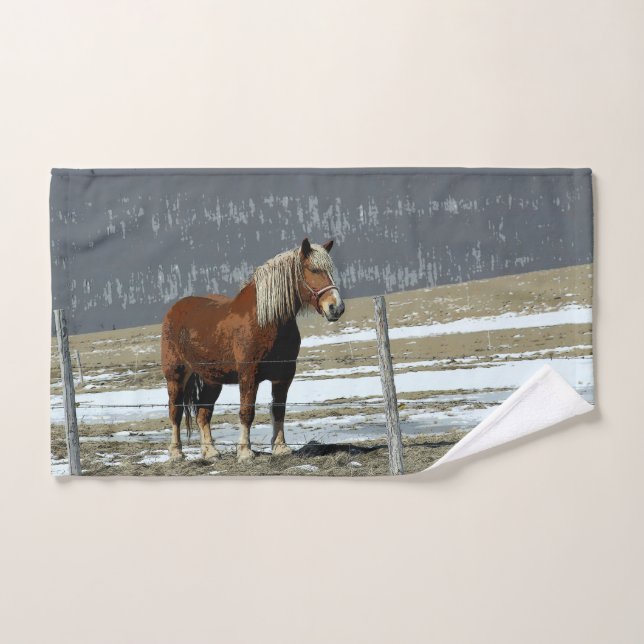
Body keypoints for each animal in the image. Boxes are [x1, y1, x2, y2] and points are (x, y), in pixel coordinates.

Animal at [161, 238, 345, 463]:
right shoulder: (249, 374)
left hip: (212, 379)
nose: (336, 307)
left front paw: (280, 448)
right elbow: (247, 411)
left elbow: (279, 410)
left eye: (330, 270)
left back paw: (211, 452)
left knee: (203, 413)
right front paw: (245, 452)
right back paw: (176, 452)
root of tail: (174, 309)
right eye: (313, 269)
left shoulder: (284, 375)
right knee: (175, 411)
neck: (266, 321)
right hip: (176, 374)